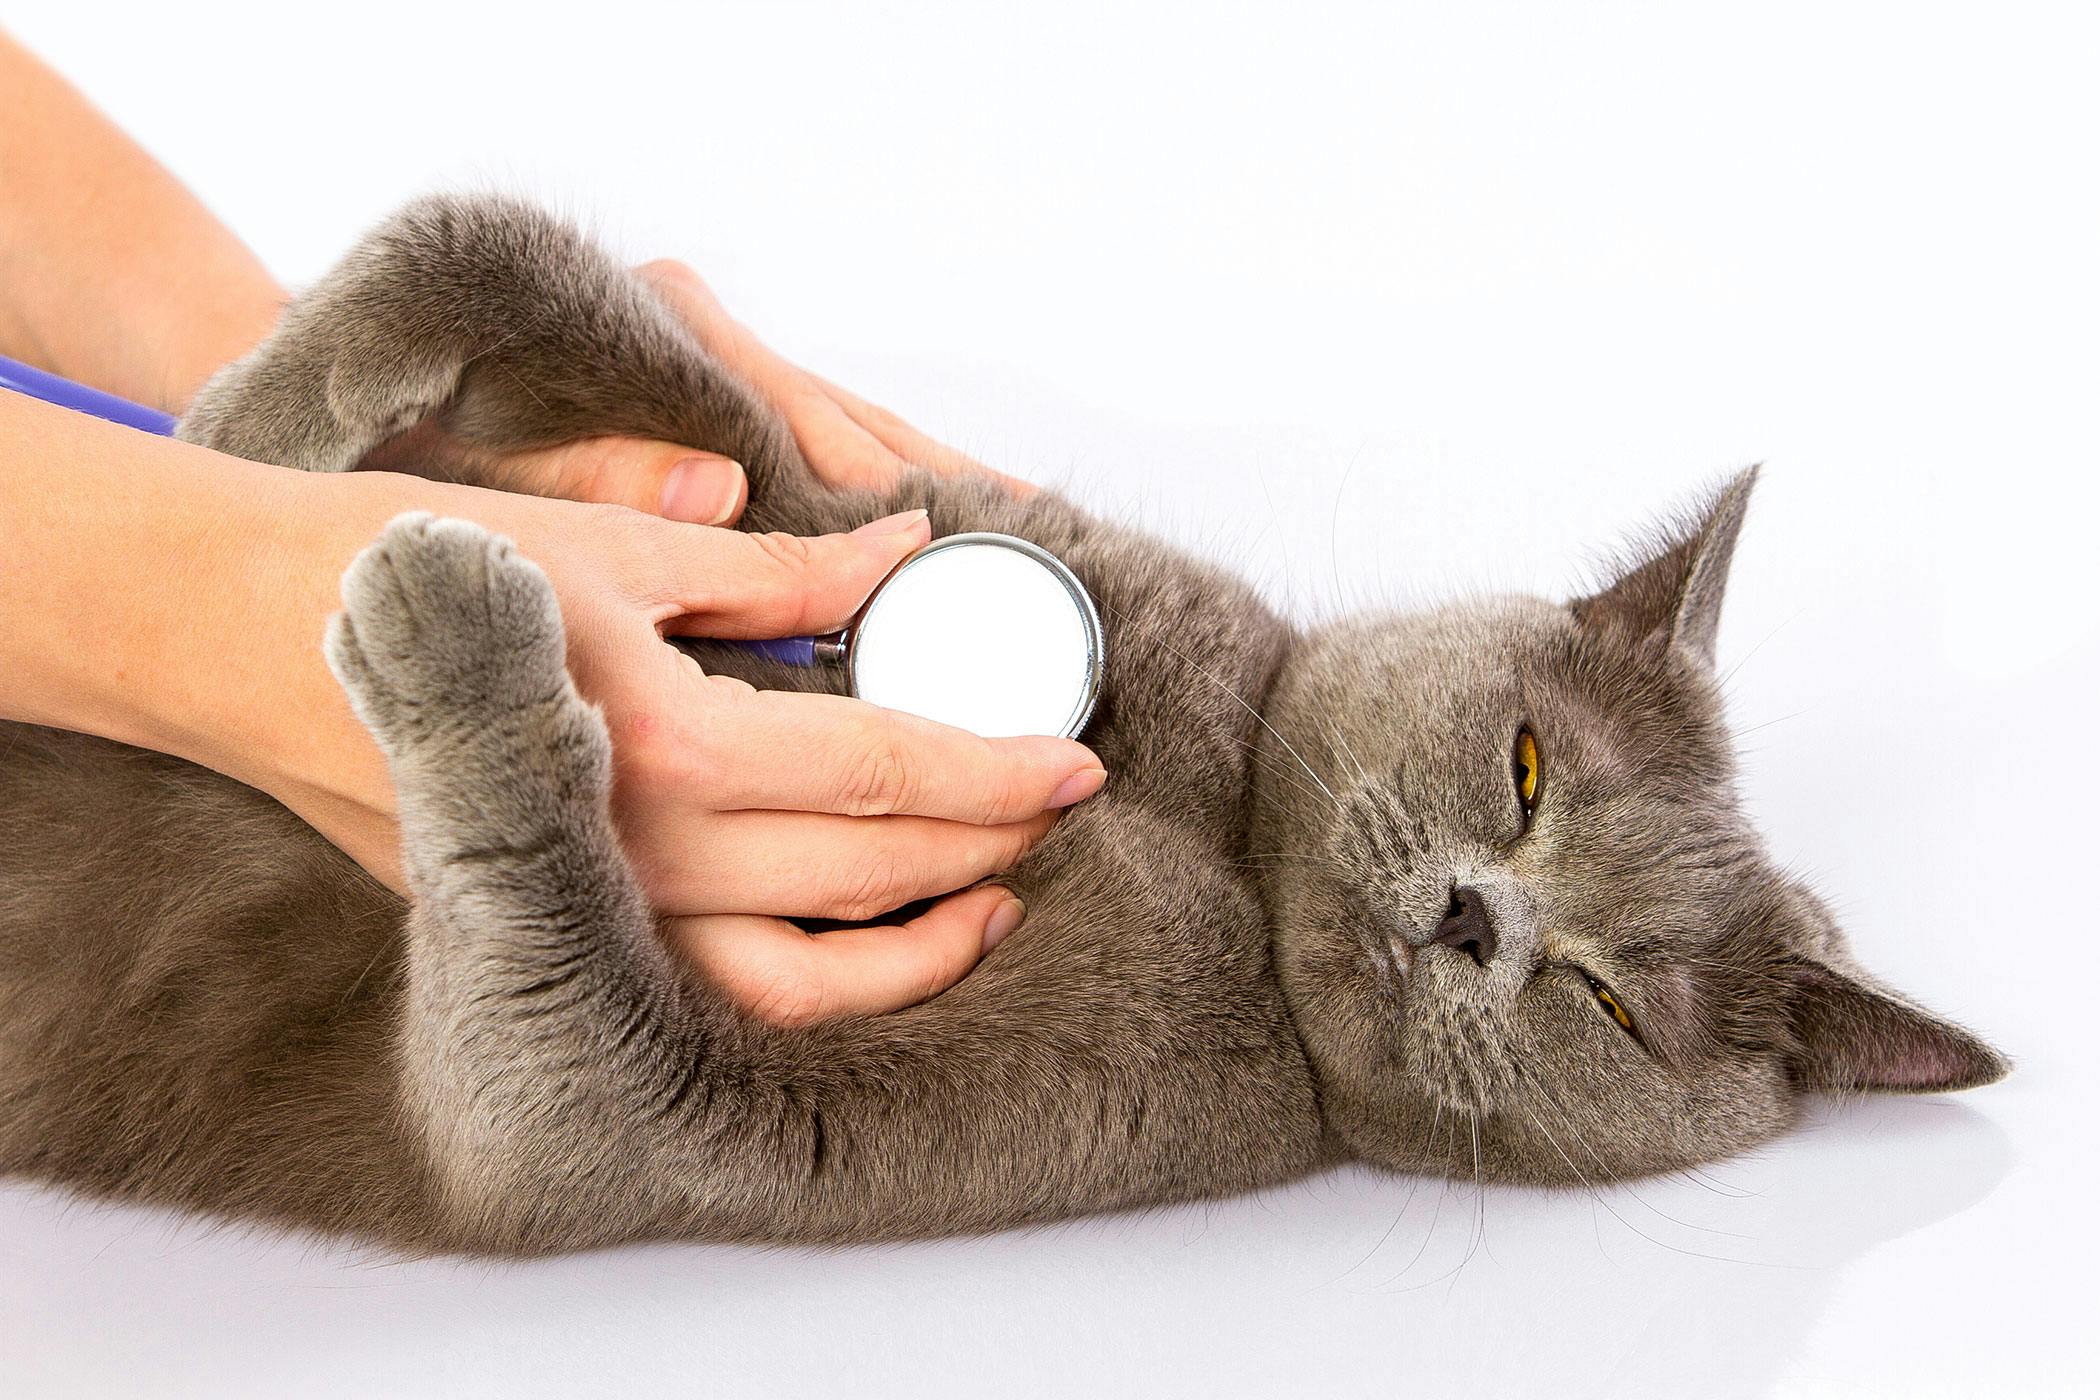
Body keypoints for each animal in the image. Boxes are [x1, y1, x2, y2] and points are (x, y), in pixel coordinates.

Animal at [0, 194, 1999, 1250]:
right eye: (1522, 774)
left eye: (1608, 1004)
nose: (1469, 915)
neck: (1220, 844)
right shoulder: (840, 505)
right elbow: (568, 288)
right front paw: (253, 424)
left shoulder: (655, 1128)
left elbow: (544, 1034)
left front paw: (441, 605)